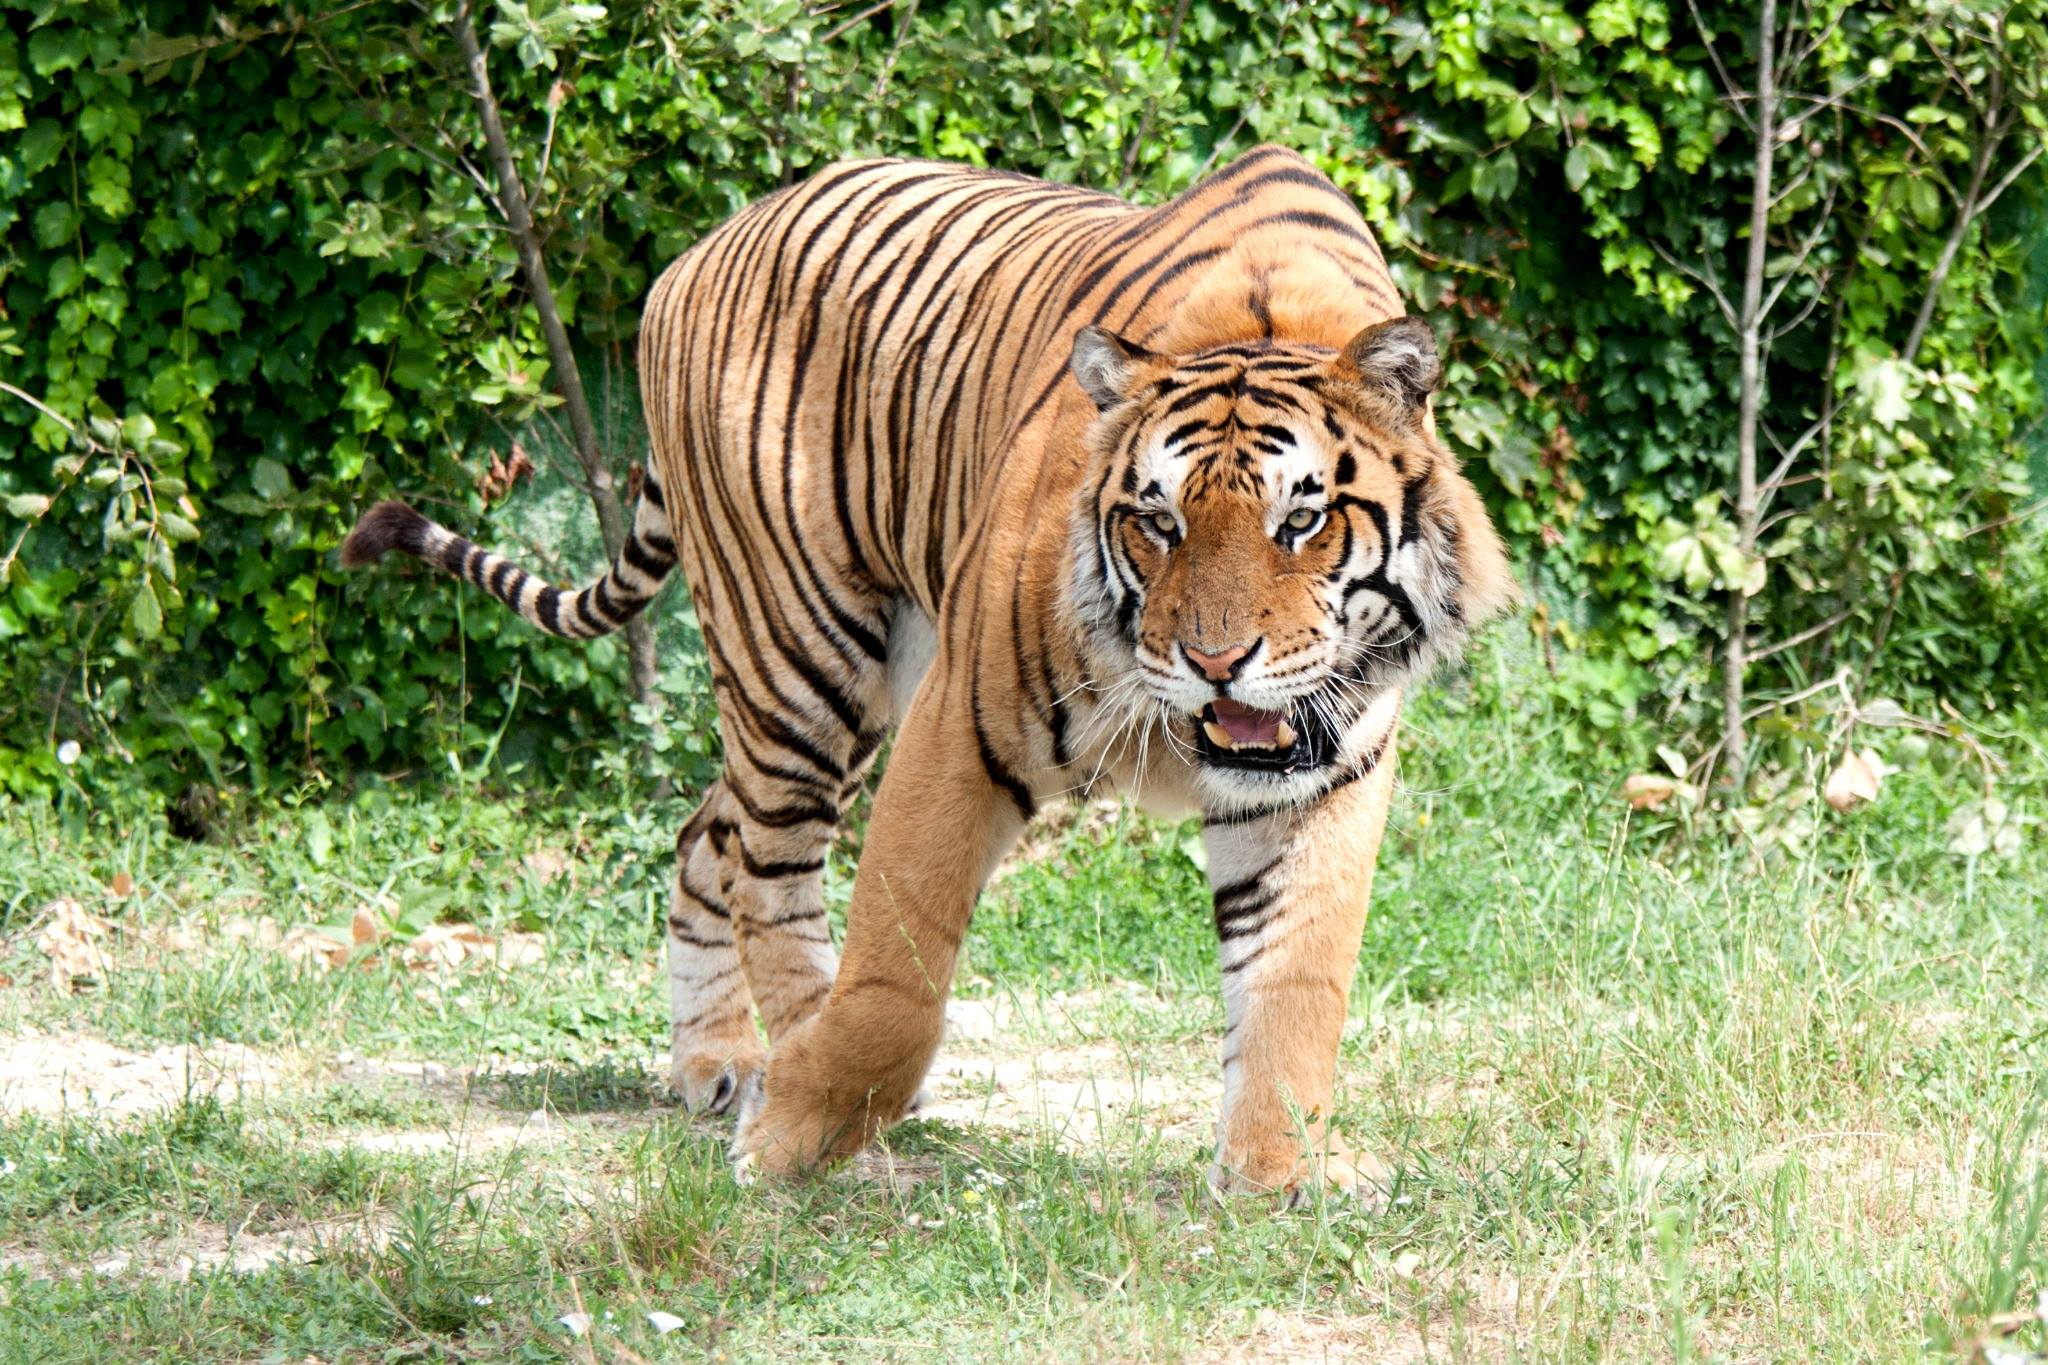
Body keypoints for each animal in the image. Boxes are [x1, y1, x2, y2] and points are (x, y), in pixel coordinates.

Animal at [344, 144, 1515, 1203]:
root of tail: (695, 252)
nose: (1213, 662)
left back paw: (715, 1062)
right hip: (802, 657)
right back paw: (787, 1087)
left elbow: (1294, 983)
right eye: (1158, 522)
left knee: (702, 835)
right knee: (769, 874)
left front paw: (1272, 1176)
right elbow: (894, 972)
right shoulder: (963, 724)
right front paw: (795, 1138)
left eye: (1300, 522)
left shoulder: (1323, 777)